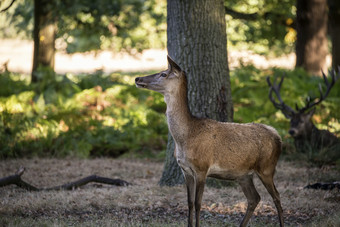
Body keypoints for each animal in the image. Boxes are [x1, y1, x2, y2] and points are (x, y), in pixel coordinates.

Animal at [135, 55, 284, 227]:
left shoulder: (202, 168)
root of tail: (278, 136)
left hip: (267, 167)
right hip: (244, 175)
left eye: (163, 74)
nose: (138, 78)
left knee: (277, 197)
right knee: (254, 198)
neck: (186, 137)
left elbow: (198, 203)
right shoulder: (185, 170)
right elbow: (189, 203)